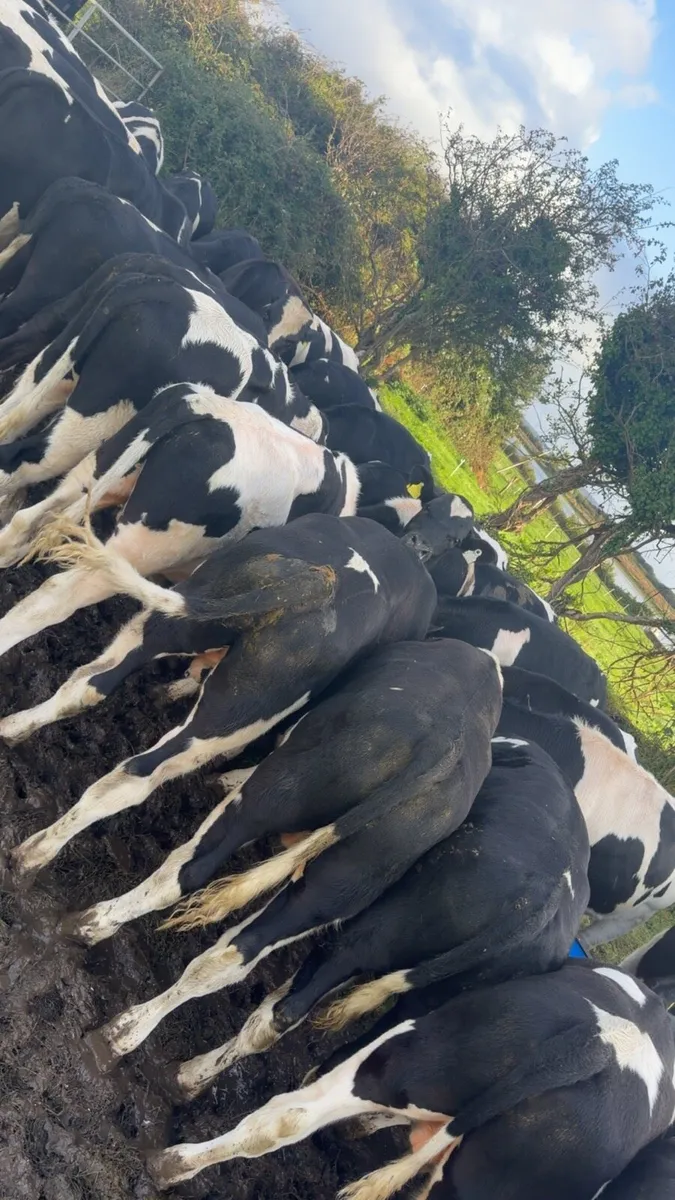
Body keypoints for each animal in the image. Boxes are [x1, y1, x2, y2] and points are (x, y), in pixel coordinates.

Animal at [6, 514, 437, 880]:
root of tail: (315, 582)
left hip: (174, 626)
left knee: (87, 682)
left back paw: (10, 730)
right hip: (234, 711)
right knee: (138, 775)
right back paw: (32, 854)